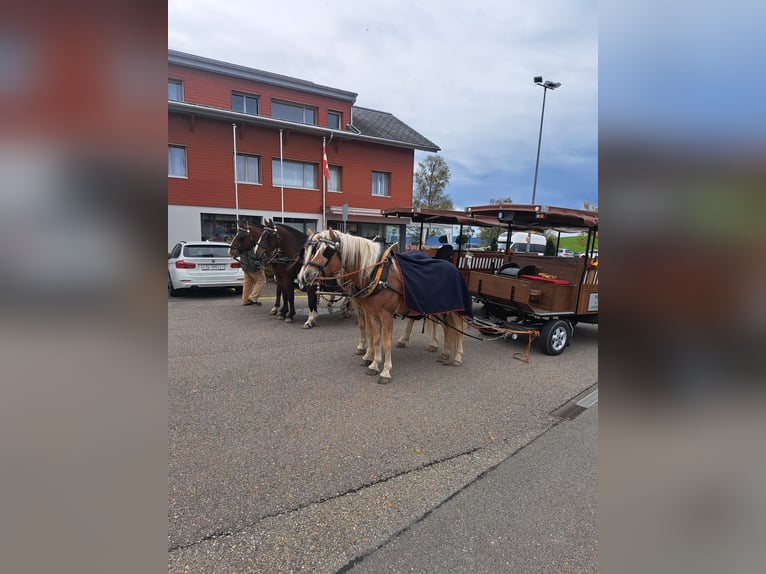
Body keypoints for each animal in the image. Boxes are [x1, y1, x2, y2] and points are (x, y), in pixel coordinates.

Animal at [296, 230, 472, 388]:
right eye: (315, 249)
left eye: (326, 251)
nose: (306, 275)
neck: (377, 274)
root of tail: (453, 267)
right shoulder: (370, 312)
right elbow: (374, 337)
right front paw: (373, 363)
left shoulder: (386, 315)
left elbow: (386, 342)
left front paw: (385, 371)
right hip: (443, 308)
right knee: (447, 329)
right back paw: (445, 353)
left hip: (453, 309)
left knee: (458, 329)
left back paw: (457, 357)